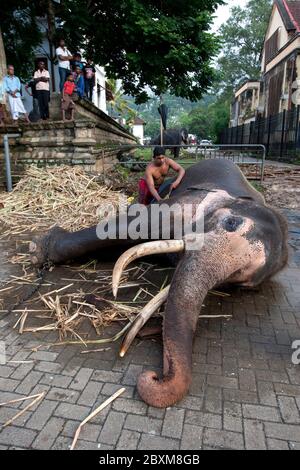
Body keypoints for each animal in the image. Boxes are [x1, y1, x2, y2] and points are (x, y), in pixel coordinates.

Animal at [29, 159, 288, 408]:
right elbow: (137, 225)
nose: (154, 377)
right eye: (232, 223)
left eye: (240, 280)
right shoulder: (192, 201)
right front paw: (38, 250)